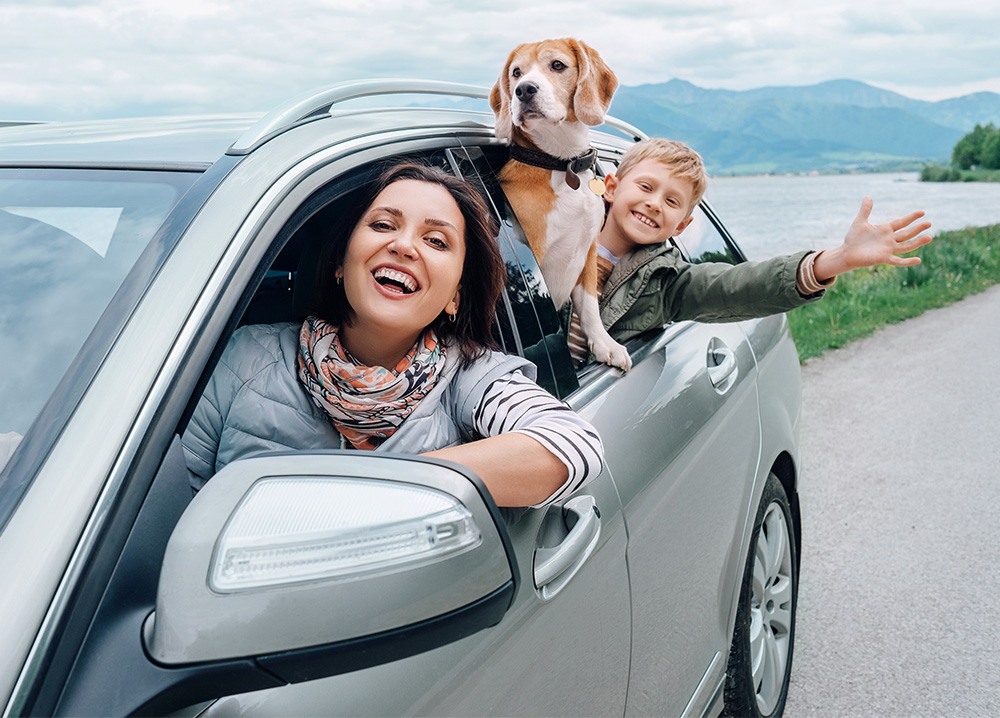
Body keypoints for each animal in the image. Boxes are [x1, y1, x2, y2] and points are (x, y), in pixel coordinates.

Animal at [488, 40, 628, 374]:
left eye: (557, 65)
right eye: (516, 72)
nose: (523, 90)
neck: (563, 165)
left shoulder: (589, 250)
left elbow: (589, 307)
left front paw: (605, 345)